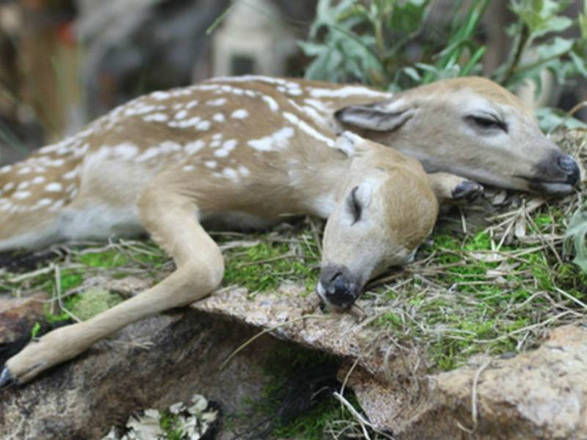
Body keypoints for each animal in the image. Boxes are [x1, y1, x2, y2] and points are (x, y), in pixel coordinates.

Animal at [0, 75, 580, 384]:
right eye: (485, 120)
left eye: (402, 259)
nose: (570, 166)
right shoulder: (187, 176)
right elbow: (206, 268)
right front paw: (29, 360)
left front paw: (458, 186)